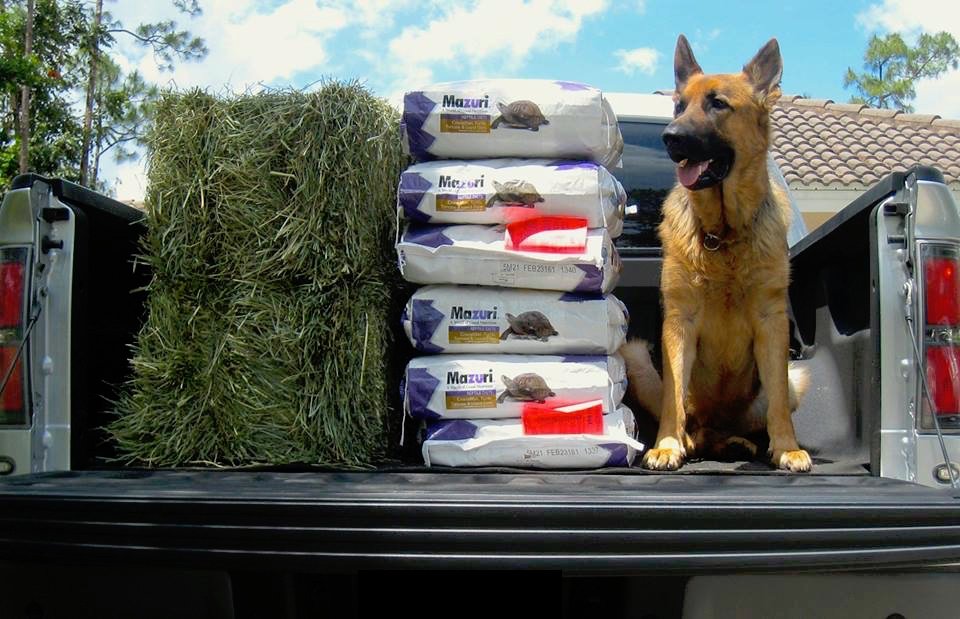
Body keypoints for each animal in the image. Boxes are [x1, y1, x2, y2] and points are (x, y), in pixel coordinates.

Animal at [620, 34, 811, 472]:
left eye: (718, 104)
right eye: (679, 106)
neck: (722, 234)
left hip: (796, 378)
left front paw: (787, 446)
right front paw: (667, 445)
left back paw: (736, 443)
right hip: (636, 355)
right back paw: (692, 442)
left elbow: (778, 400)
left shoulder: (771, 321)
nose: (670, 137)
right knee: (693, 425)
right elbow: (674, 397)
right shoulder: (680, 321)